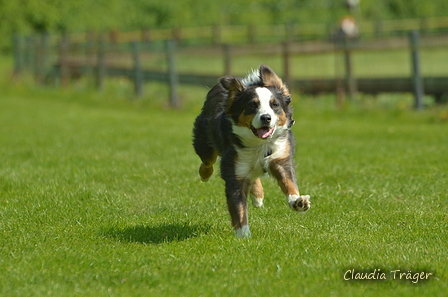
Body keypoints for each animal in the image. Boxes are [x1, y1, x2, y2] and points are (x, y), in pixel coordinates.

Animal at [192, 64, 312, 236]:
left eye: (275, 105)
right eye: (252, 105)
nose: (266, 118)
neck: (259, 144)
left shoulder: (280, 157)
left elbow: (288, 182)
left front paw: (297, 201)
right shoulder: (234, 169)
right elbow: (239, 208)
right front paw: (243, 236)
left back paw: (258, 197)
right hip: (204, 142)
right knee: (207, 161)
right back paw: (205, 174)